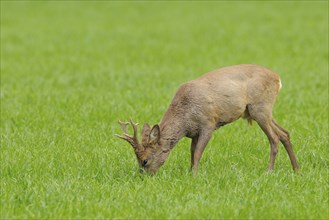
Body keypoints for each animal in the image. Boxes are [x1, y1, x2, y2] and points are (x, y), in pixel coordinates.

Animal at [114, 64, 298, 174]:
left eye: (144, 160)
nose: (142, 176)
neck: (185, 116)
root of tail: (277, 78)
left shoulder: (208, 124)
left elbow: (197, 153)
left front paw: (194, 176)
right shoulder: (193, 132)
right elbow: (192, 152)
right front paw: (190, 172)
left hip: (260, 107)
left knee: (274, 138)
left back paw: (269, 171)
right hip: (258, 111)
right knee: (285, 133)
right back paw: (297, 169)